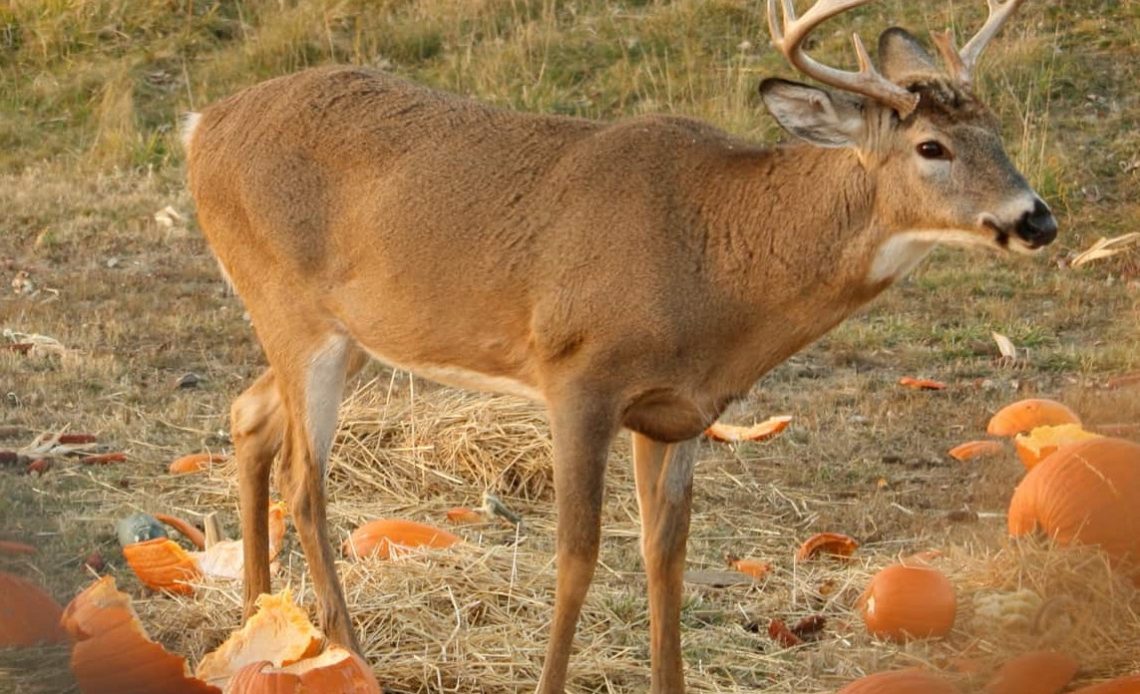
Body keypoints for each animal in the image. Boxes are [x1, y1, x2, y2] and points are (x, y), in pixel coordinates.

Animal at [184, 0, 1048, 688]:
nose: (1037, 218)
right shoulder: (578, 374)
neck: (718, 256)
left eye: (998, 131)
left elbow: (665, 554)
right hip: (292, 309)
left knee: (248, 415)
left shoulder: (681, 410)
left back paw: (258, 624)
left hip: (346, 329)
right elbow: (578, 554)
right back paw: (347, 653)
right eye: (931, 147)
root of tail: (201, 128)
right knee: (304, 478)